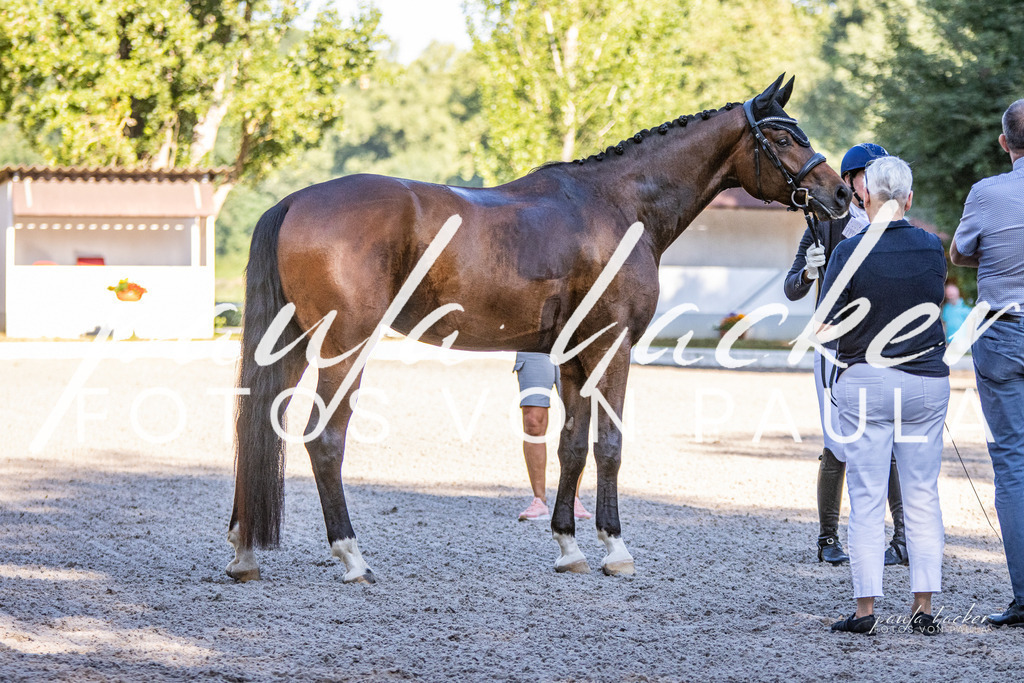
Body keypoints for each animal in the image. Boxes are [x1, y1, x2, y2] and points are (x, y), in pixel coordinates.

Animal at [226, 74, 851, 583]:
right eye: (785, 138)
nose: (840, 193)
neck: (618, 205)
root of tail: (295, 201)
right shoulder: (613, 346)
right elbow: (609, 444)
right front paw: (615, 549)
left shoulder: (572, 354)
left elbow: (570, 445)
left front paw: (569, 547)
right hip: (344, 347)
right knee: (324, 439)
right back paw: (352, 557)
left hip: (293, 345)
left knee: (259, 429)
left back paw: (244, 553)